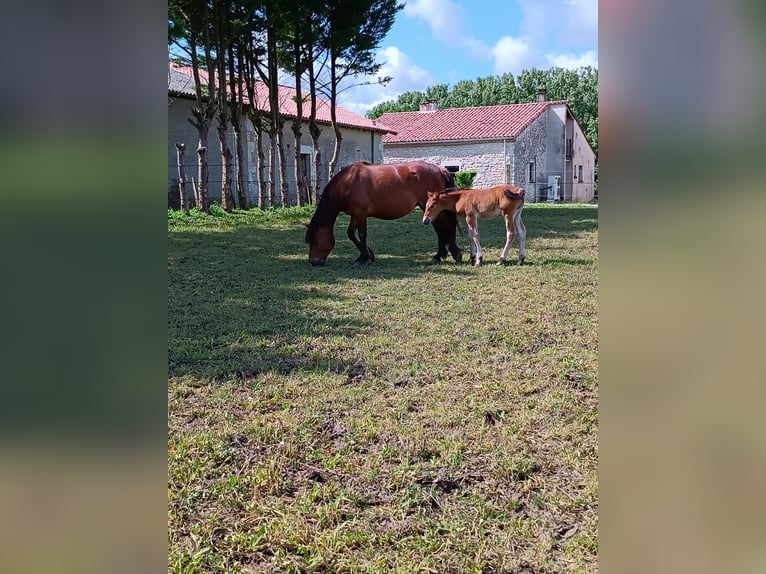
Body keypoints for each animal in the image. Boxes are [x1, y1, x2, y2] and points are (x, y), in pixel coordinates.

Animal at [305, 161, 462, 266]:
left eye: (314, 240)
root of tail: (440, 169)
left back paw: (451, 254)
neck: (348, 182)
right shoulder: (355, 214)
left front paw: (363, 258)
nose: (314, 262)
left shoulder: (361, 214)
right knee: (441, 229)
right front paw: (368, 254)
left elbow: (362, 235)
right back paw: (440, 256)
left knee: (444, 227)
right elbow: (351, 234)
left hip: (431, 207)